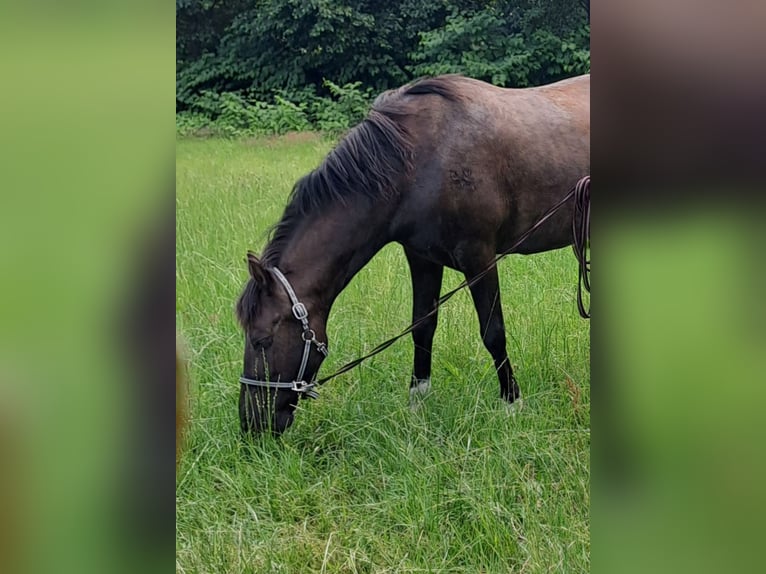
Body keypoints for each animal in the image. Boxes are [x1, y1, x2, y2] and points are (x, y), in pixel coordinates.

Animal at [237, 74, 592, 438]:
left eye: (262, 340)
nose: (252, 423)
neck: (418, 162)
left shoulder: (478, 256)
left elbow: (493, 331)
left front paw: (511, 403)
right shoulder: (422, 258)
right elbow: (422, 326)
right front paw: (418, 403)